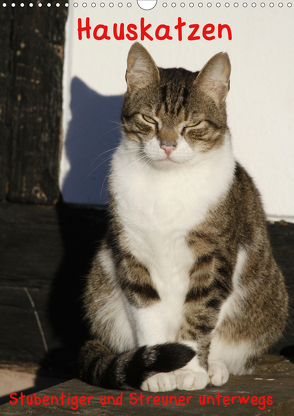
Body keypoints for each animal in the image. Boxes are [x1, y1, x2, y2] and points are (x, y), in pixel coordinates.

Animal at [78, 44, 288, 392]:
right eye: (149, 118)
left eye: (193, 124)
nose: (167, 145)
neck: (166, 183)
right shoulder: (133, 253)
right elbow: (147, 310)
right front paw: (157, 372)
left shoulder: (214, 257)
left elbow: (200, 313)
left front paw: (191, 370)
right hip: (101, 290)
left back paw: (214, 366)